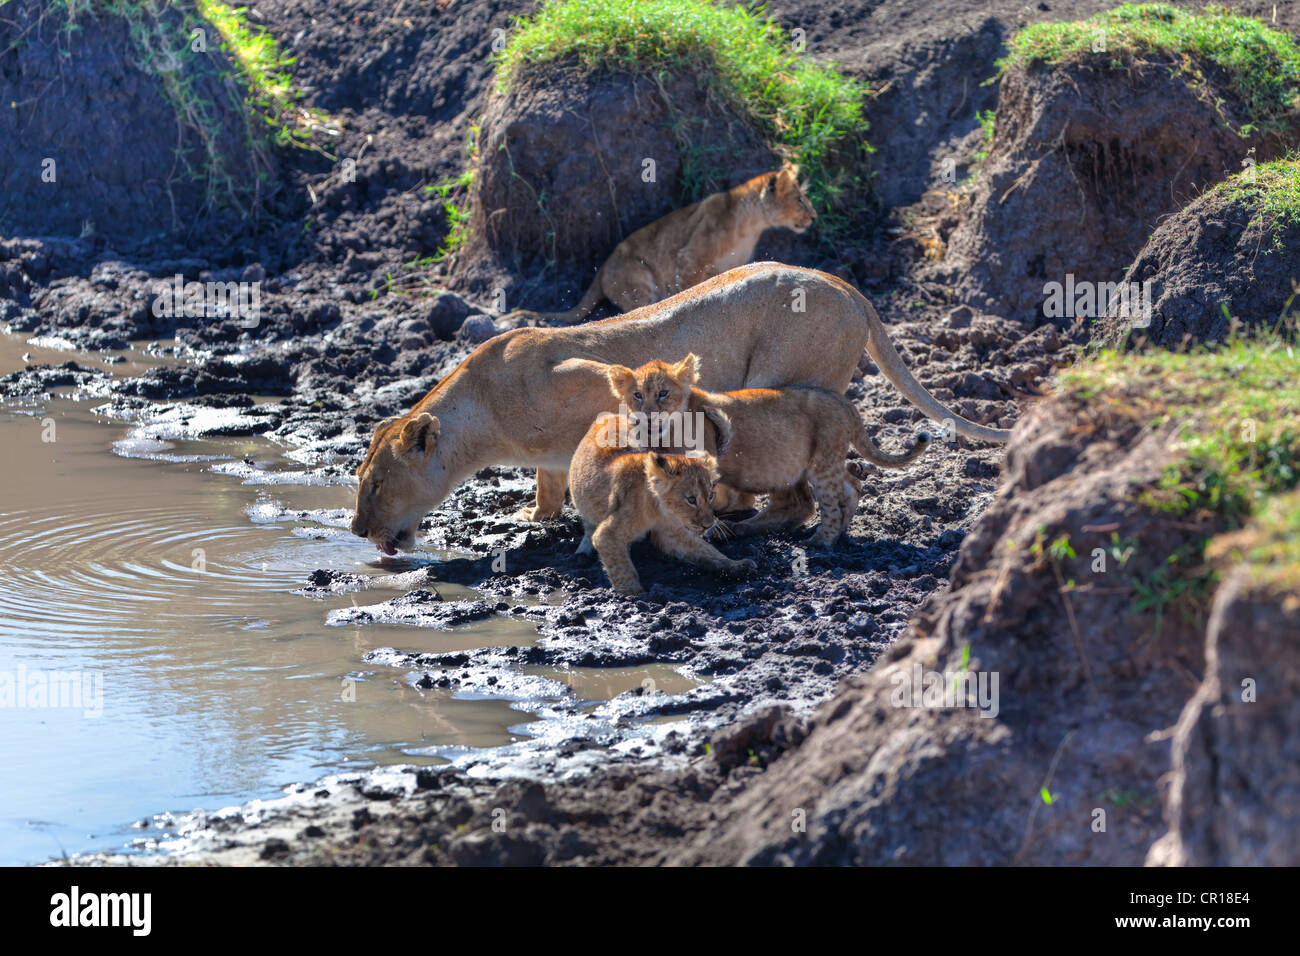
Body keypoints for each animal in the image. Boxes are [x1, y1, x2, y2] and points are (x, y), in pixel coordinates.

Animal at [538, 165, 815, 325]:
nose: (814, 216)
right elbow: (690, 290)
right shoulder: (691, 257)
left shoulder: (726, 267)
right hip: (639, 283)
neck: (752, 224)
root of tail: (602, 270)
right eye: (800, 200)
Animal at [567, 414, 755, 595]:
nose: (708, 525)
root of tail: (609, 416)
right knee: (588, 527)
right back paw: (583, 552)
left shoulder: (670, 531)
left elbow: (703, 549)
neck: (659, 508)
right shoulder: (608, 534)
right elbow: (622, 569)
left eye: (711, 496)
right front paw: (635, 594)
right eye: (691, 500)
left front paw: (736, 565)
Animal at [585, 354, 930, 545]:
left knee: (826, 502)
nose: (647, 414)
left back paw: (822, 541)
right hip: (822, 461)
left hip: (821, 462)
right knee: (848, 486)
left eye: (663, 393)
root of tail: (846, 403)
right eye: (637, 395)